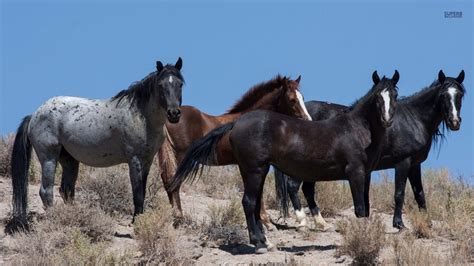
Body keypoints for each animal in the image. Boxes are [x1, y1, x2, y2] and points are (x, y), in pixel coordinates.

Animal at [8, 58, 185, 231]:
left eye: (180, 84)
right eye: (161, 85)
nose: (174, 114)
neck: (141, 116)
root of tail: (34, 115)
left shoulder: (147, 162)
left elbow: (142, 192)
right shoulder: (135, 161)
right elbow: (137, 194)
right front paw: (136, 223)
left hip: (69, 161)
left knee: (66, 191)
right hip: (49, 158)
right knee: (46, 191)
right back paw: (55, 220)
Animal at [158, 75, 312, 229]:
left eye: (302, 97)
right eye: (292, 99)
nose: (308, 121)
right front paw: (267, 222)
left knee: (168, 181)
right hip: (180, 156)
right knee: (174, 182)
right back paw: (179, 217)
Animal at [276, 70, 464, 229]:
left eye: (460, 95)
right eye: (444, 95)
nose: (454, 122)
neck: (413, 119)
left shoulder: (414, 165)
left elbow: (420, 194)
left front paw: (427, 222)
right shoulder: (402, 163)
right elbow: (399, 193)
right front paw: (399, 224)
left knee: (307, 189)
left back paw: (320, 222)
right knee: (294, 186)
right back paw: (303, 222)